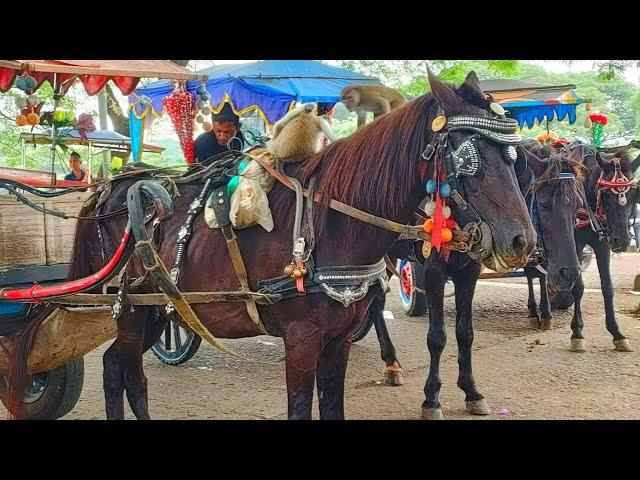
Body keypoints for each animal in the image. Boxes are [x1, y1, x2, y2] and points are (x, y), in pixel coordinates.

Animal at [5, 69, 536, 418]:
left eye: (515, 157)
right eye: (468, 157)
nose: (521, 240)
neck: (331, 225)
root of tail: (111, 189)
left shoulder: (338, 341)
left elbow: (334, 407)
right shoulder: (301, 342)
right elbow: (301, 409)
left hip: (159, 310)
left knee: (123, 368)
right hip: (131, 308)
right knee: (119, 372)